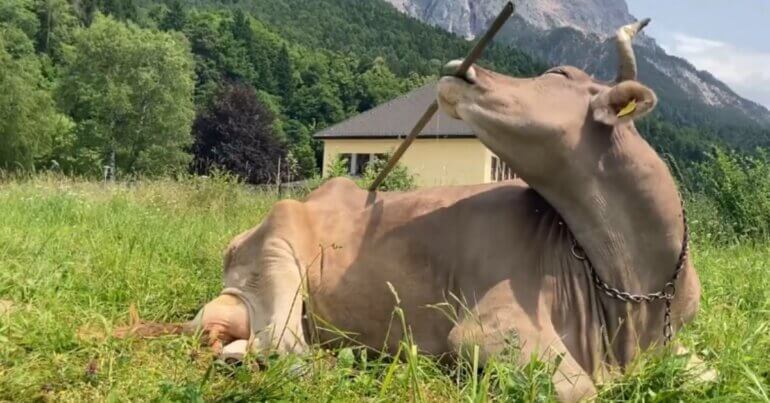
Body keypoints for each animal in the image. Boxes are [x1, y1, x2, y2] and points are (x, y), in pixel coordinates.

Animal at [117, 20, 702, 401]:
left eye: (558, 73)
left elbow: (705, 373)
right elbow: (581, 389)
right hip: (278, 253)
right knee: (287, 348)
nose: (461, 68)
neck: (633, 289)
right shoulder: (489, 329)